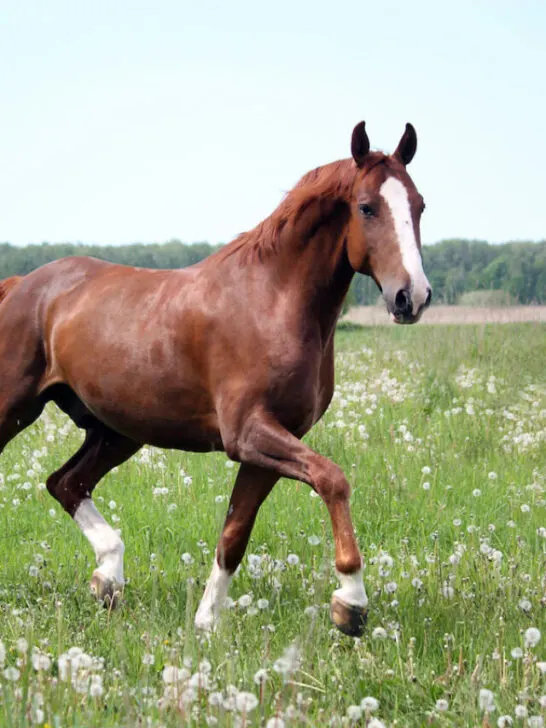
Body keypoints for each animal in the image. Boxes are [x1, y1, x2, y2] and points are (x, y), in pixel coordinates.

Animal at [0, 121, 431, 637]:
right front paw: (351, 602)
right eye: (366, 207)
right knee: (62, 481)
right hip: (14, 409)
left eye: (420, 205)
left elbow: (234, 534)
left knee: (65, 483)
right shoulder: (248, 433)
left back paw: (108, 579)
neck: (272, 299)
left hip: (118, 431)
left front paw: (207, 622)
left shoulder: (268, 448)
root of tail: (21, 286)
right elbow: (333, 479)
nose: (412, 297)